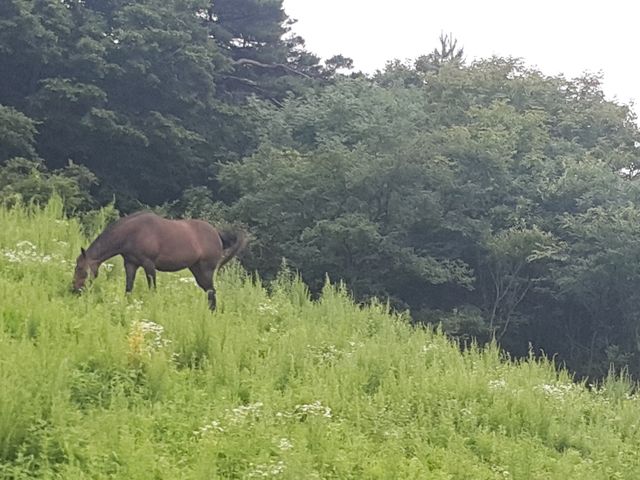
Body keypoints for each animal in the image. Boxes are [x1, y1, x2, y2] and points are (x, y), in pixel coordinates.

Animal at [72, 211, 248, 310]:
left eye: (80, 268)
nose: (75, 290)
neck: (132, 233)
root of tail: (217, 233)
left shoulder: (149, 265)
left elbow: (152, 289)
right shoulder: (131, 264)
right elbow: (128, 288)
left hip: (205, 270)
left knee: (211, 292)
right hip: (197, 270)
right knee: (210, 292)